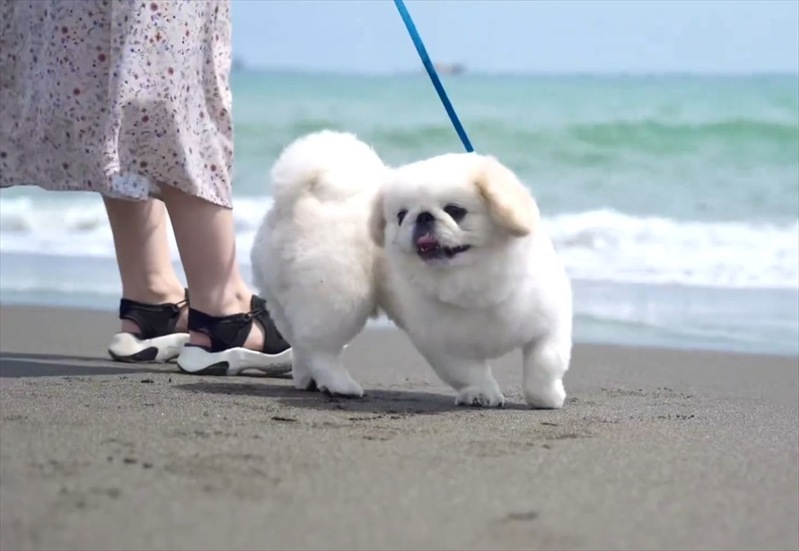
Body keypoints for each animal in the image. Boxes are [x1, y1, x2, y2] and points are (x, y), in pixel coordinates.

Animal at [253, 130, 572, 410]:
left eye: (455, 210)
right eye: (401, 215)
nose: (423, 216)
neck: (472, 284)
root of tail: (296, 200)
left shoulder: (549, 325)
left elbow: (545, 363)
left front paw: (547, 398)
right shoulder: (443, 345)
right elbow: (469, 373)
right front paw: (482, 395)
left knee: (301, 346)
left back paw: (306, 379)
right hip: (338, 298)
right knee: (322, 350)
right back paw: (340, 385)